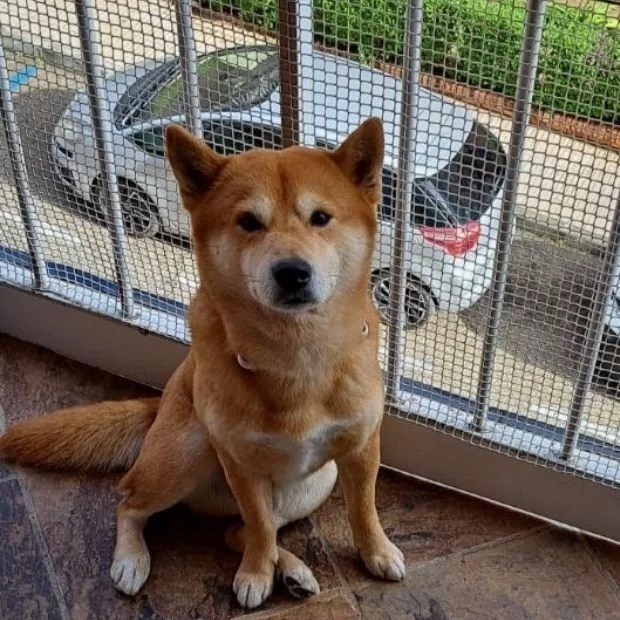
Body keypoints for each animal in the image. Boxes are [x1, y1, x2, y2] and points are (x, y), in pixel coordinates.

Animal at [0, 118, 406, 609]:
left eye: (321, 218)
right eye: (249, 222)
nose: (292, 272)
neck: (295, 357)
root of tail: (158, 404)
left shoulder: (361, 449)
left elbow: (362, 510)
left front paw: (376, 552)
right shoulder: (240, 464)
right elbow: (259, 529)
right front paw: (255, 574)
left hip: (314, 484)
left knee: (238, 531)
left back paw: (291, 571)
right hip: (187, 451)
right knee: (131, 501)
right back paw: (133, 560)